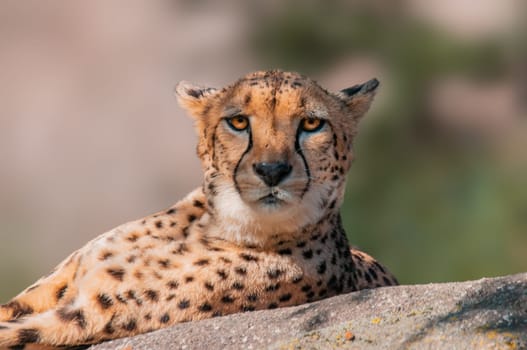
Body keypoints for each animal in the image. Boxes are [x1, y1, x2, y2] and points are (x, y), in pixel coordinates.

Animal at [0, 70, 396, 348]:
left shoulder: (86, 316)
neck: (215, 224)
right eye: (238, 121)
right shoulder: (50, 292)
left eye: (312, 123)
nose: (272, 170)